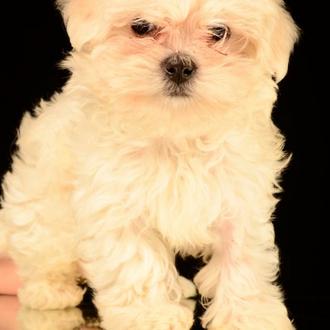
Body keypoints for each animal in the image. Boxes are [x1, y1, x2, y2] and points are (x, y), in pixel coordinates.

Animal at [0, 0, 300, 328]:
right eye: (141, 27)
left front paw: (249, 316)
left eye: (219, 32)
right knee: (41, 254)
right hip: (42, 212)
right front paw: (151, 314)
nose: (180, 65)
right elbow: (138, 262)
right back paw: (50, 290)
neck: (174, 131)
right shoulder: (116, 204)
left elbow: (242, 260)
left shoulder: (239, 198)